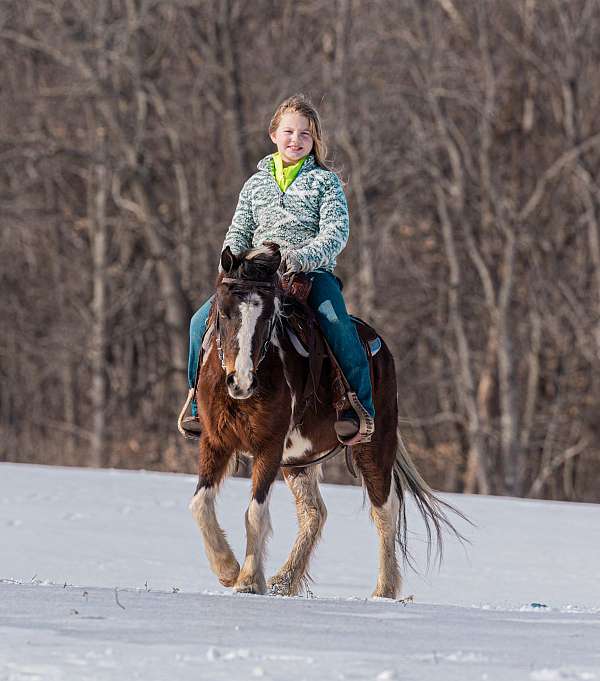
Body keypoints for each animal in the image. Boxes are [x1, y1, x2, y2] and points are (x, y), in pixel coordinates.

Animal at [190, 243, 458, 596]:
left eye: (268, 316)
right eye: (224, 312)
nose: (242, 381)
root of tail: (378, 344)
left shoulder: (269, 446)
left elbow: (255, 512)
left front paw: (247, 580)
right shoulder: (215, 441)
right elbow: (201, 504)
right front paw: (227, 569)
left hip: (373, 444)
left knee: (384, 511)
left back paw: (384, 591)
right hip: (299, 460)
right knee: (314, 513)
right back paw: (283, 581)